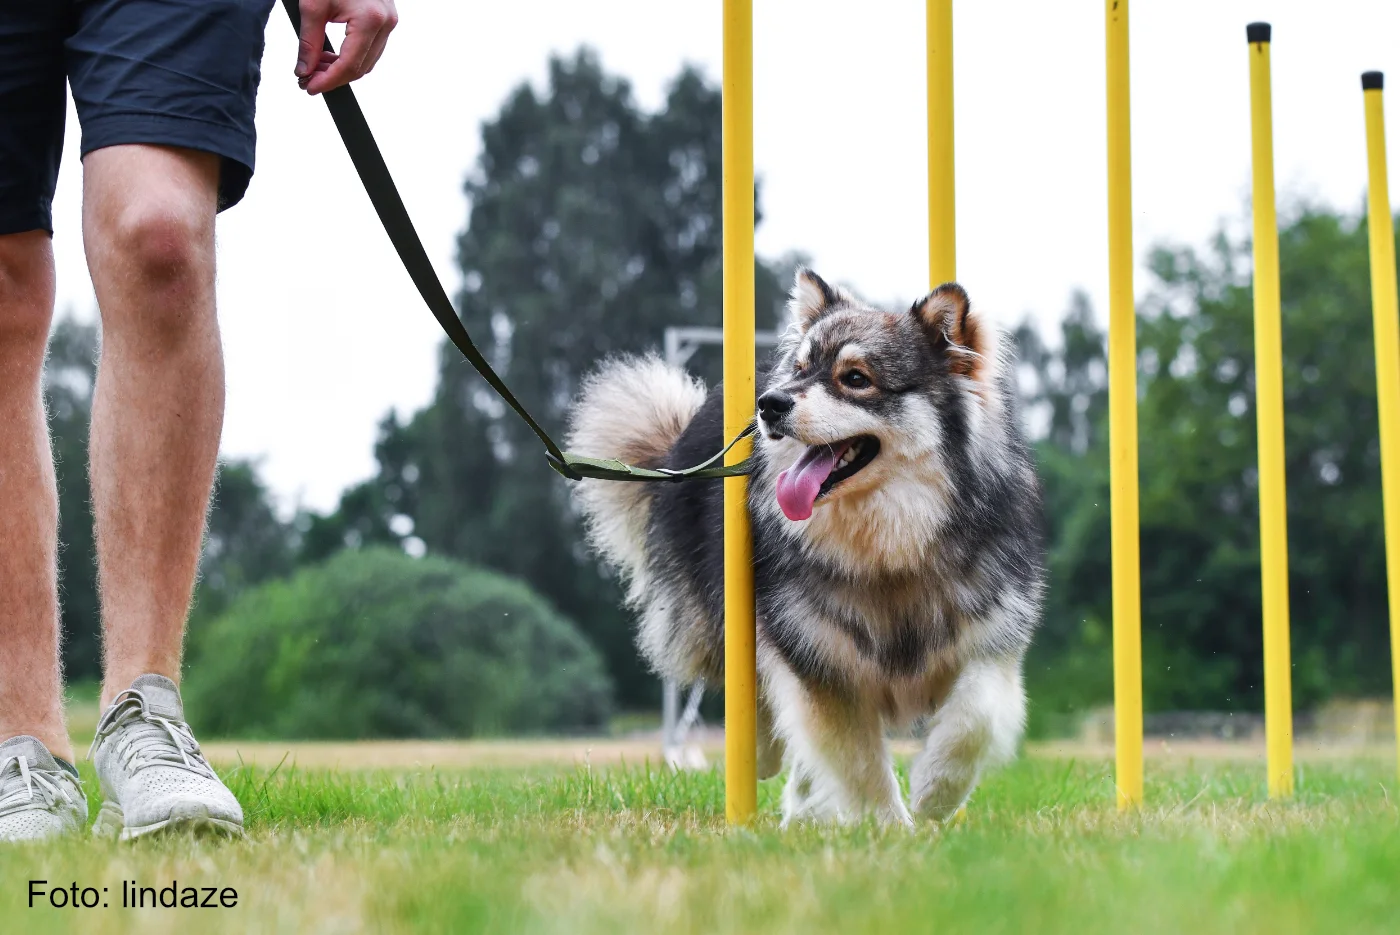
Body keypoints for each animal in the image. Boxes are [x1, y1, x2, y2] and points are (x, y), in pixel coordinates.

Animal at [565, 270, 1041, 823]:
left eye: (855, 377)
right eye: (800, 369)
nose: (770, 403)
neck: (891, 549)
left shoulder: (990, 643)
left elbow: (974, 720)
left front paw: (935, 792)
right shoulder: (821, 665)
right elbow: (860, 765)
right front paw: (889, 828)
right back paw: (765, 758)